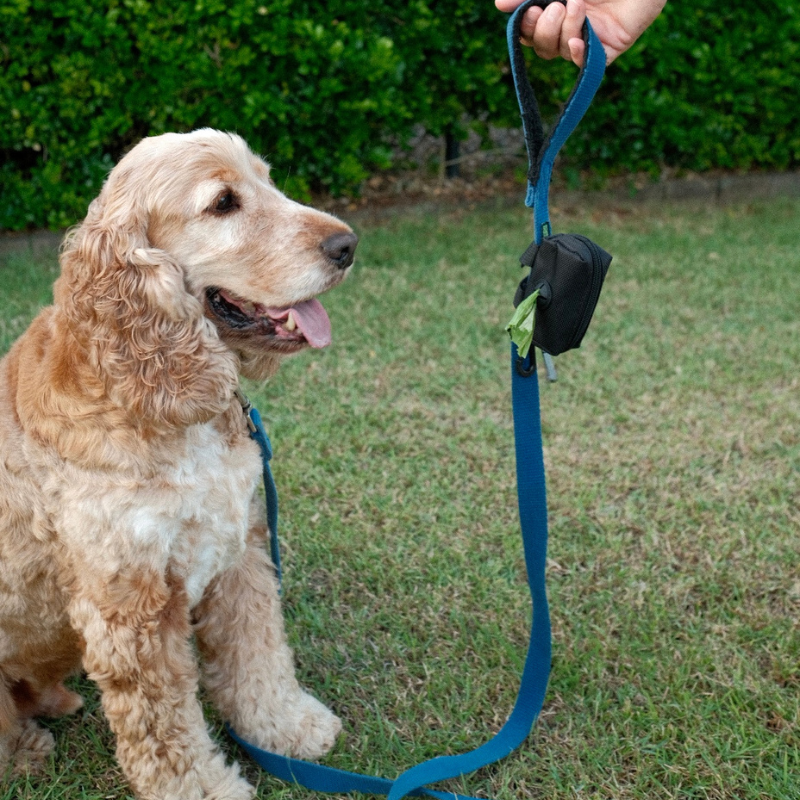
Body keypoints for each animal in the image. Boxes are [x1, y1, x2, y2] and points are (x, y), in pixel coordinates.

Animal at [0, 131, 356, 800]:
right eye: (223, 203)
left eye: (268, 180)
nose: (348, 245)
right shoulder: (132, 608)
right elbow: (164, 732)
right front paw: (206, 789)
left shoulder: (238, 549)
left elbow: (258, 654)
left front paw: (289, 728)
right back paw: (24, 750)